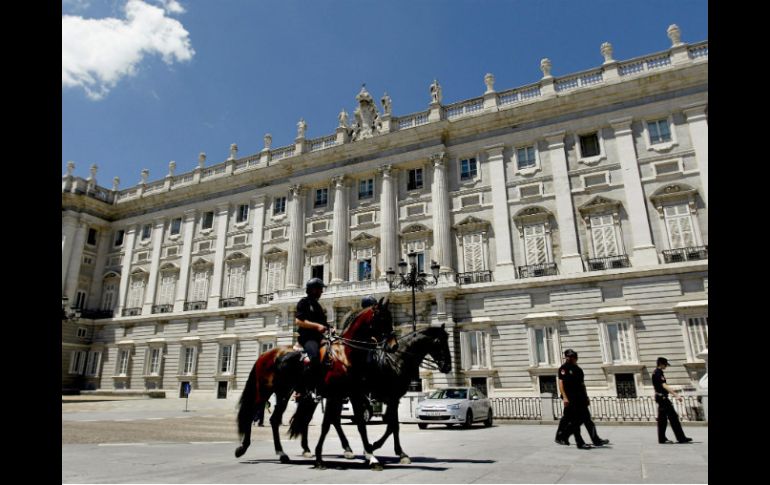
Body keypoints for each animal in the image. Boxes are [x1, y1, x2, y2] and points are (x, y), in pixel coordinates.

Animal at [234, 296, 392, 464]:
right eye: (382, 319)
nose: (393, 345)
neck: (344, 354)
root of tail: (265, 354)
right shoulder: (334, 395)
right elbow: (331, 421)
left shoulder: (351, 393)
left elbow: (358, 423)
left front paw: (367, 453)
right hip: (265, 391)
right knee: (252, 413)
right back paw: (242, 448)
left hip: (284, 393)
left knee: (275, 419)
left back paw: (282, 453)